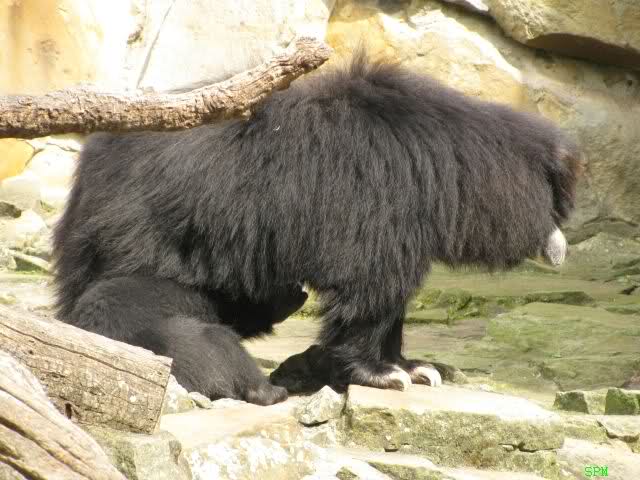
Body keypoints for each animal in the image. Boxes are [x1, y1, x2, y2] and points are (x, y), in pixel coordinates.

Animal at [52, 51, 581, 404]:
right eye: (558, 206)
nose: (562, 252)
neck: (446, 170)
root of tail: (91, 160)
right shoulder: (380, 202)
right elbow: (371, 287)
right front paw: (385, 374)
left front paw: (417, 367)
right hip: (146, 223)